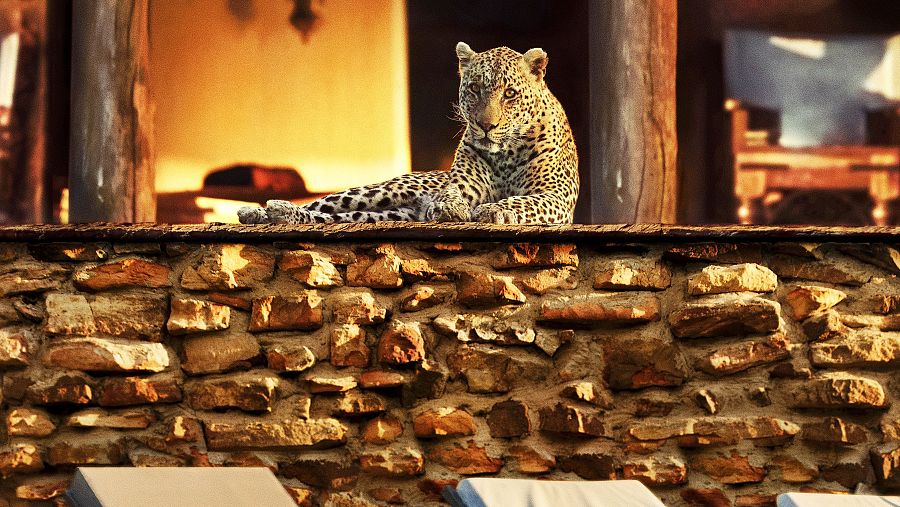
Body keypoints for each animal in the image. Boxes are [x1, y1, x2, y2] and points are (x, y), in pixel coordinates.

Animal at [237, 42, 579, 225]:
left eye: (509, 94)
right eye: (474, 88)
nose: (486, 125)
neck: (505, 152)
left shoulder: (555, 196)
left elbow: (522, 202)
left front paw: (492, 209)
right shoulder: (463, 184)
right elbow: (452, 193)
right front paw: (449, 207)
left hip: (383, 214)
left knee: (326, 218)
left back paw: (278, 213)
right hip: (381, 191)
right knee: (320, 206)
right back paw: (258, 212)